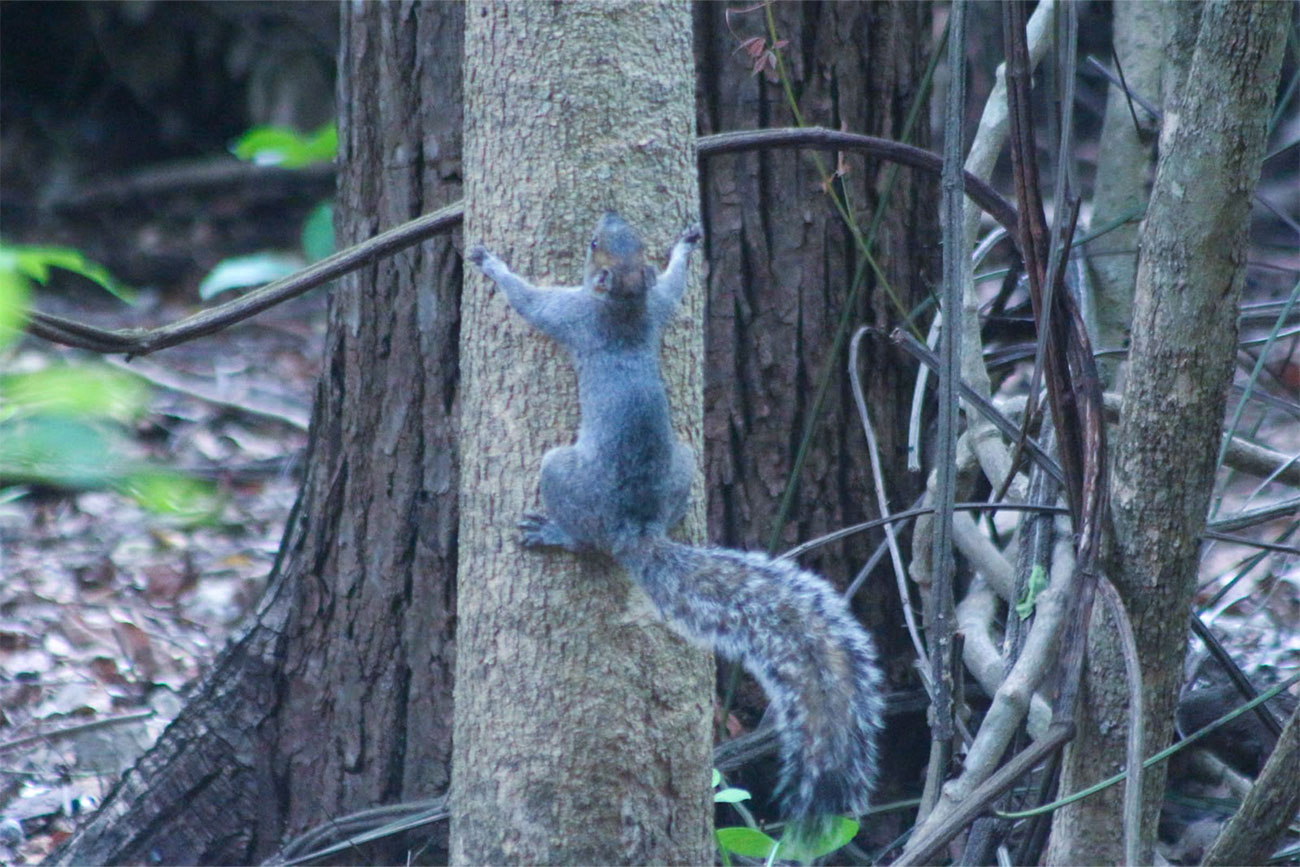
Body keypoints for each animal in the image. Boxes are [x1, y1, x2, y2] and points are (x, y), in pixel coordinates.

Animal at [467, 212, 882, 842]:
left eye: (597, 244)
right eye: (624, 238)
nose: (606, 216)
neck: (625, 308)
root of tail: (634, 530)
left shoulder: (571, 313)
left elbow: (528, 301)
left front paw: (490, 263)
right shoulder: (656, 308)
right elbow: (675, 288)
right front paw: (686, 249)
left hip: (560, 471)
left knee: (581, 531)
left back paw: (556, 534)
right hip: (684, 460)